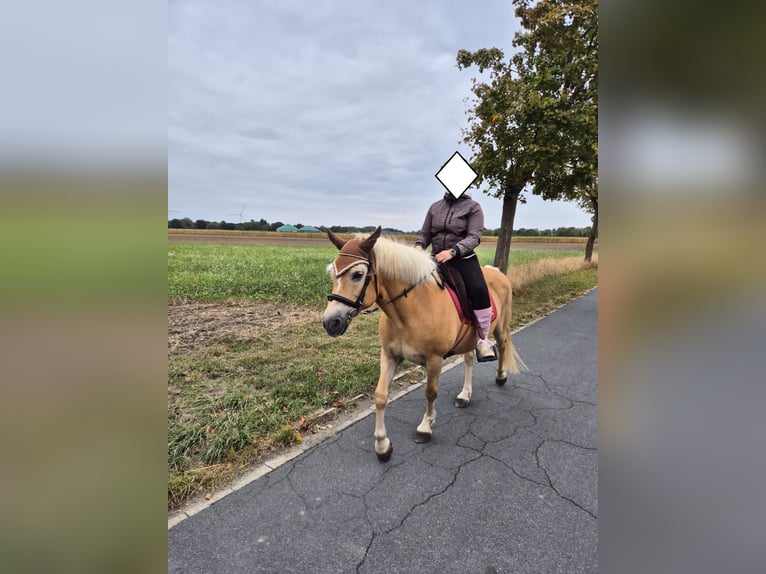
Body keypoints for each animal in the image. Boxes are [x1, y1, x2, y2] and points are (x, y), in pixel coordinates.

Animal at [322, 226, 525, 461]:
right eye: (333, 273)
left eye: (357, 274)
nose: (330, 322)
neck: (409, 310)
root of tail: (497, 272)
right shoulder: (389, 356)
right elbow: (380, 396)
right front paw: (382, 446)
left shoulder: (434, 360)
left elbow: (430, 392)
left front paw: (425, 428)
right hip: (469, 338)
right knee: (468, 359)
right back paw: (465, 395)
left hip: (500, 329)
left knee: (502, 347)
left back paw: (500, 377)